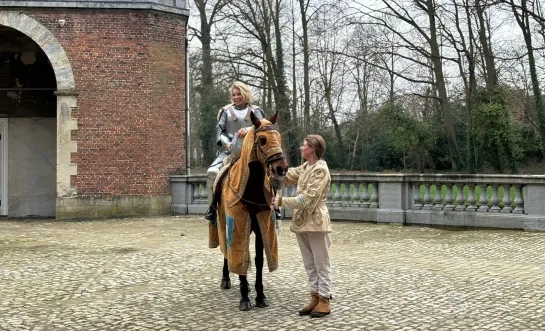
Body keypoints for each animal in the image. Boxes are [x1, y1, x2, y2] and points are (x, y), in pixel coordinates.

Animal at [207, 111, 286, 312]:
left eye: (279, 137)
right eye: (263, 140)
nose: (282, 169)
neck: (250, 187)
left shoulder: (260, 226)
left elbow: (258, 261)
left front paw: (260, 296)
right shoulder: (237, 223)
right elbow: (236, 251)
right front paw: (244, 298)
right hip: (222, 222)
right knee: (226, 252)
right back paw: (226, 279)